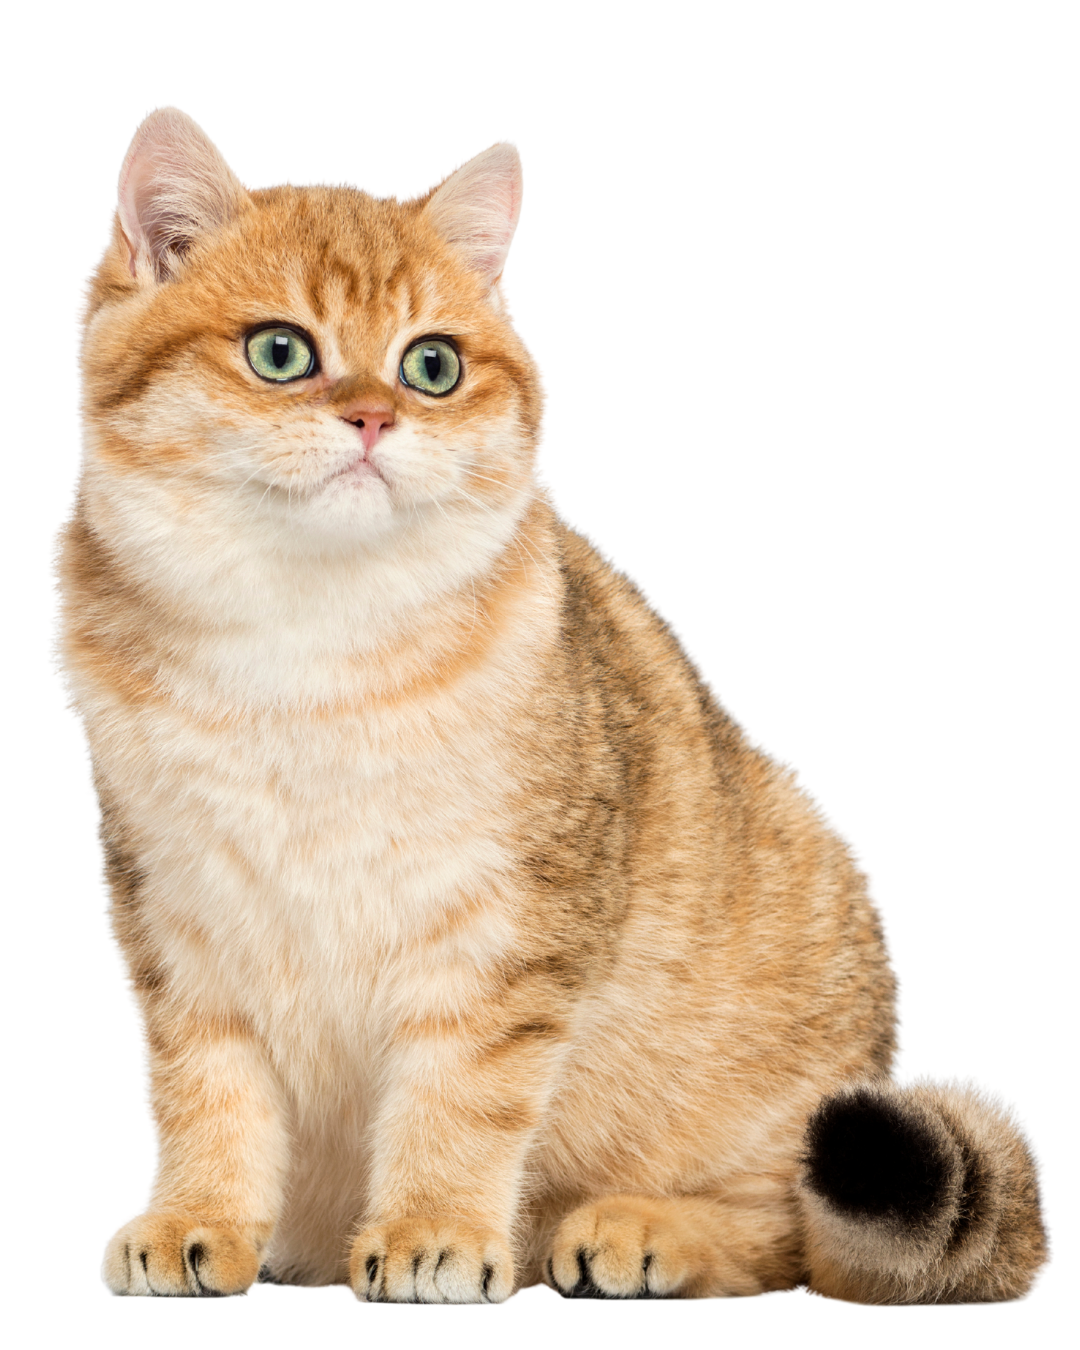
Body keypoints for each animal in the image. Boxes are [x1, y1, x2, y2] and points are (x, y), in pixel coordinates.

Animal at [46, 105, 1053, 1306]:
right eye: (279, 351)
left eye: (431, 365)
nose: (376, 419)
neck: (305, 644)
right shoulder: (175, 914)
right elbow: (202, 1090)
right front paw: (196, 1221)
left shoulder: (507, 927)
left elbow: (462, 1096)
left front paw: (431, 1231)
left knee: (790, 1235)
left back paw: (643, 1229)